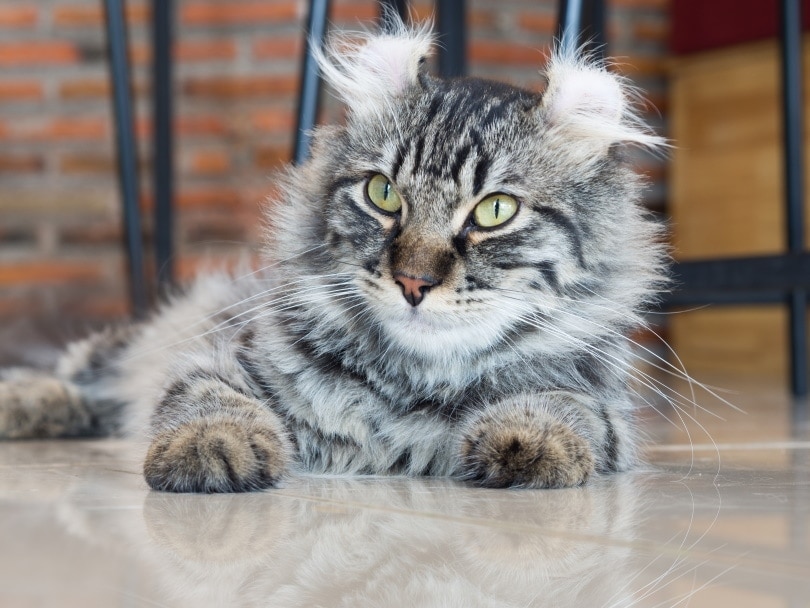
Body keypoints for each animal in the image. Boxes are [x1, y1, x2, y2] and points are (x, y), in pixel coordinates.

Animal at [0, 20, 664, 494]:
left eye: (495, 211)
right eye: (383, 194)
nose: (413, 282)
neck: (408, 386)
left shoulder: (610, 415)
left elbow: (564, 408)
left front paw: (526, 442)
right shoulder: (220, 357)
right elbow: (207, 401)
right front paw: (212, 452)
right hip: (133, 342)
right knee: (79, 377)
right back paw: (26, 403)